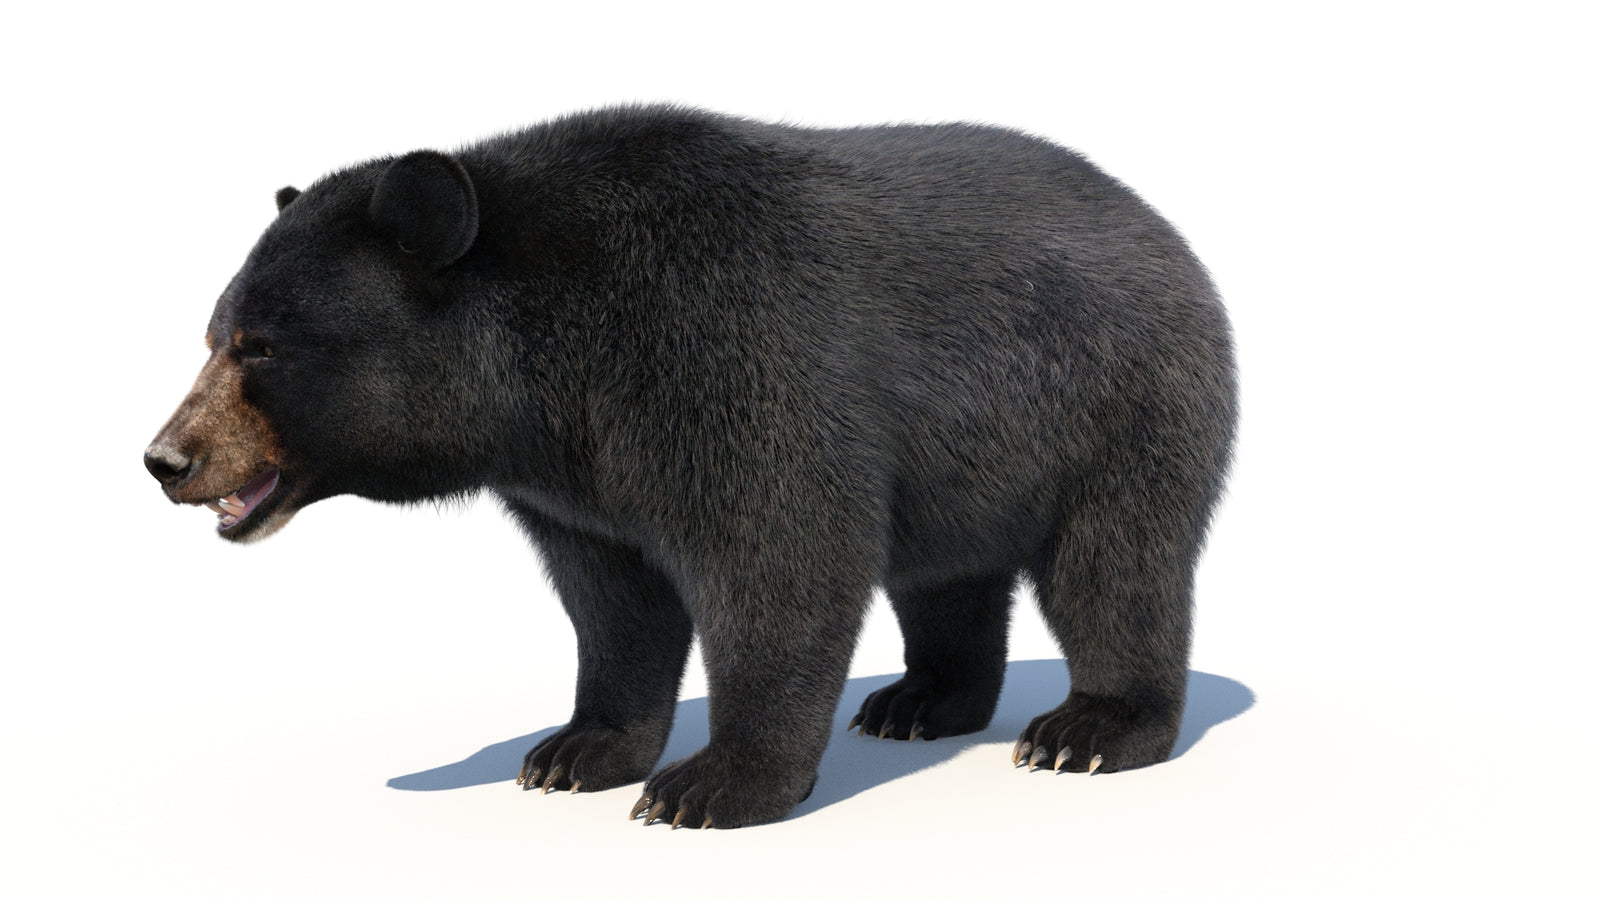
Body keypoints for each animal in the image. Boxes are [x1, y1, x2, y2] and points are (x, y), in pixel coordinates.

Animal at [144, 105, 1236, 829]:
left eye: (262, 347)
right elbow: (613, 601)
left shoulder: (726, 362)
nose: (166, 458)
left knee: (1116, 563)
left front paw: (713, 783)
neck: (549, 371)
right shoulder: (577, 476)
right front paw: (577, 750)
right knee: (949, 576)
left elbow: (781, 559)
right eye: (214, 333)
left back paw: (1089, 730)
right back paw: (920, 701)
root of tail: (1163, 228)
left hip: (1116, 398)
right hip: (973, 453)